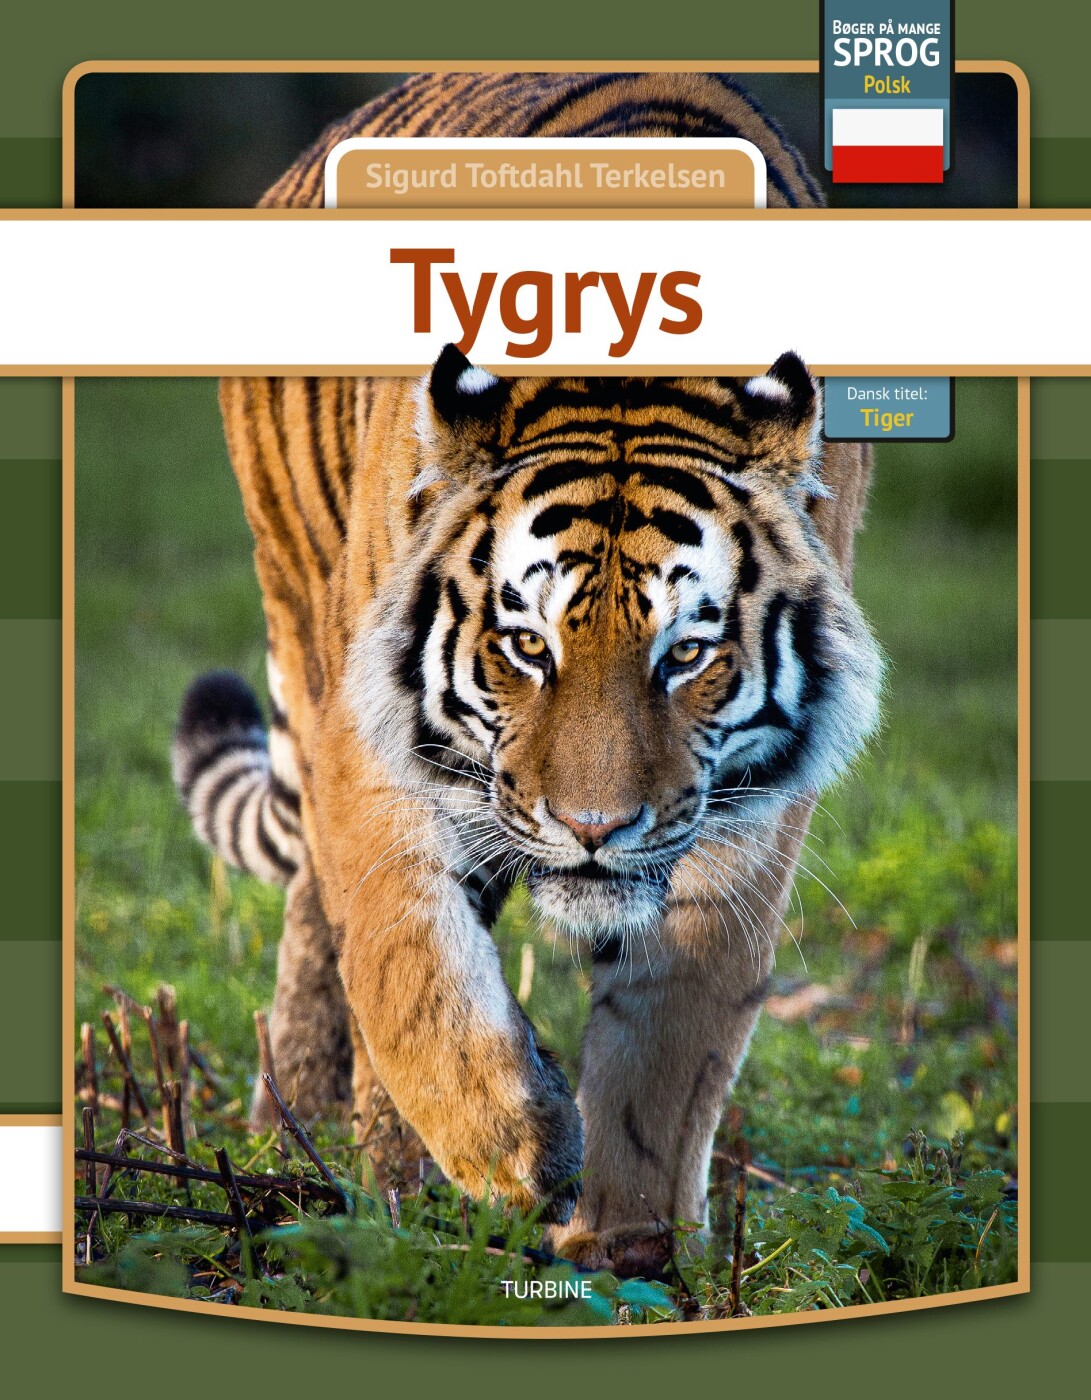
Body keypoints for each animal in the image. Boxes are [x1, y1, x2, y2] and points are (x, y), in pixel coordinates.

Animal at [170, 71, 881, 1276]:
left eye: (685, 653)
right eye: (527, 645)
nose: (592, 829)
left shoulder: (745, 814)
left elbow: (673, 1032)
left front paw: (630, 1244)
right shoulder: (377, 752)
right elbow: (409, 968)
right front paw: (515, 1149)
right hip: (304, 623)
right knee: (331, 920)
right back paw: (346, 1157)